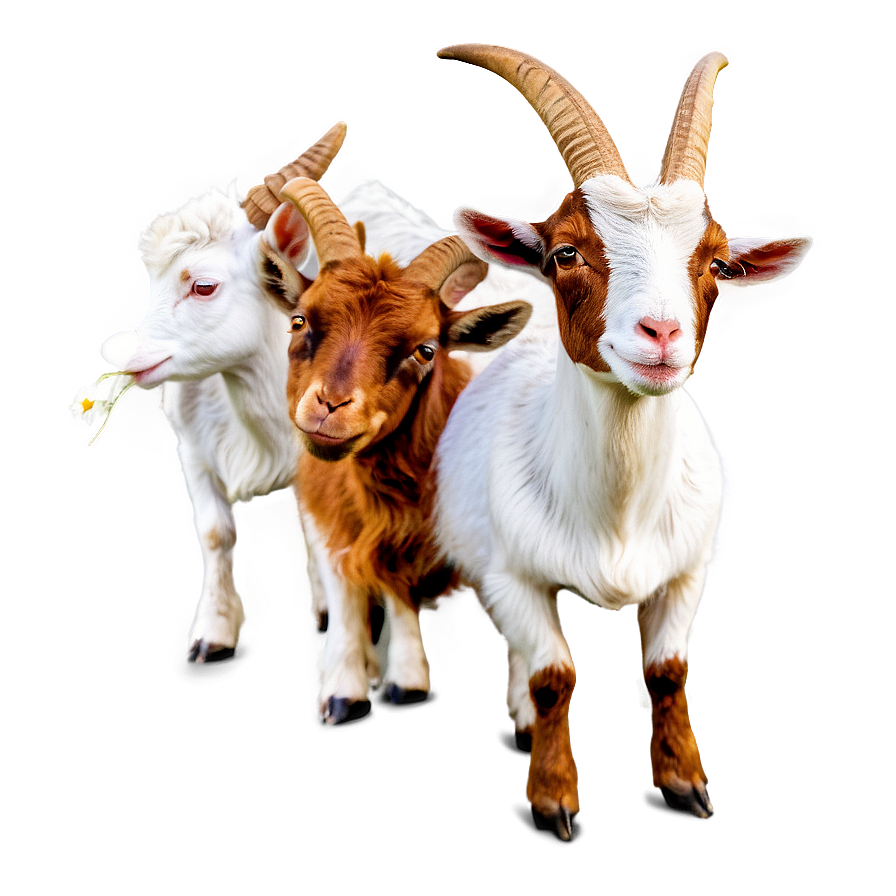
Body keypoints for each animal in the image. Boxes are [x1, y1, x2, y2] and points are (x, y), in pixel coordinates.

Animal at [97, 124, 346, 663]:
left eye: (204, 286)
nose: (124, 355)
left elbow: (315, 526)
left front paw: (325, 611)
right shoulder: (190, 450)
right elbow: (216, 533)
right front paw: (212, 634)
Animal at [263, 176, 532, 724]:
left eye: (426, 350)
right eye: (299, 321)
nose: (330, 406)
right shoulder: (333, 508)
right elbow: (351, 580)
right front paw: (347, 689)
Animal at [433, 45, 814, 838]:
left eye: (719, 263)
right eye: (564, 253)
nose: (661, 333)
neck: (615, 521)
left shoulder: (689, 570)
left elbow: (666, 671)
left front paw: (683, 780)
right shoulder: (511, 575)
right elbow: (554, 675)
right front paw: (552, 795)